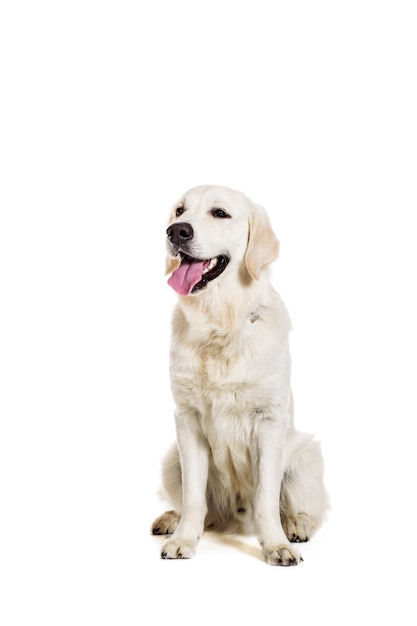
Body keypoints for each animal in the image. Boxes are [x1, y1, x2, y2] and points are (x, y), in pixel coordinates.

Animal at [150, 183, 328, 564]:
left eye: (220, 213)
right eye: (179, 210)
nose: (176, 231)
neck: (221, 324)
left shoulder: (269, 421)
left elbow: (265, 500)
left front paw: (276, 545)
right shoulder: (187, 420)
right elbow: (193, 499)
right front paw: (184, 539)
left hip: (306, 458)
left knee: (308, 508)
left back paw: (296, 524)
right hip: (172, 459)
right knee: (201, 510)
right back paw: (171, 520)